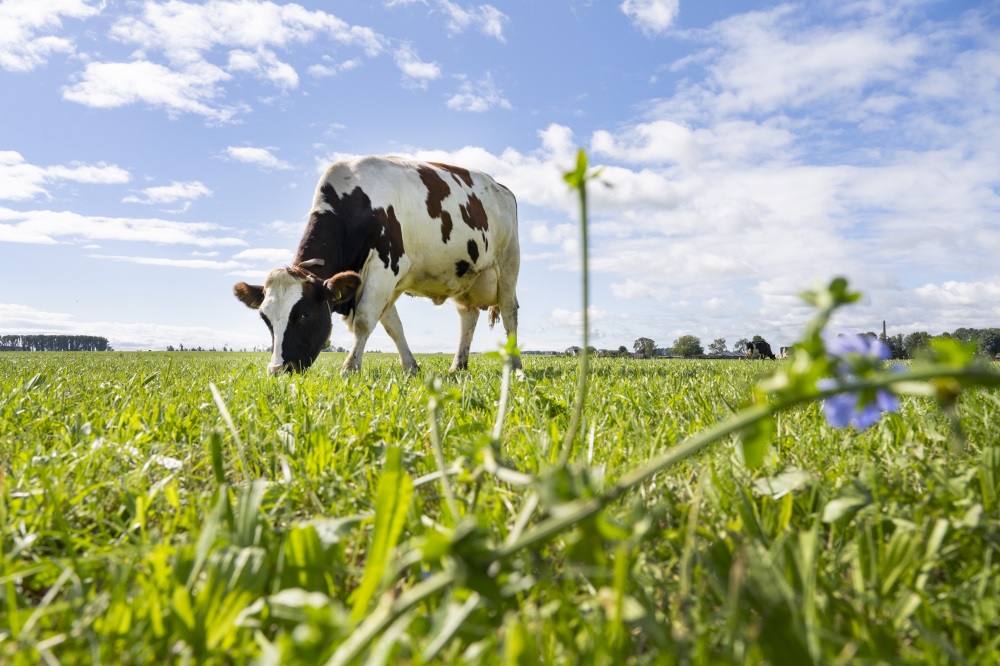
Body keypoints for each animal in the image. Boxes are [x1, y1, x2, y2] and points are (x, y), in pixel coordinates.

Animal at [231, 155, 520, 374]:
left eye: (304, 315)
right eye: (265, 318)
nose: (277, 370)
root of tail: (501, 187)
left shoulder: (384, 267)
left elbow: (364, 320)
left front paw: (349, 369)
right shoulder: (383, 280)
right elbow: (393, 325)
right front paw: (411, 368)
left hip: (508, 263)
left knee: (509, 313)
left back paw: (515, 365)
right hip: (464, 276)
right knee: (467, 317)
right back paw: (457, 367)